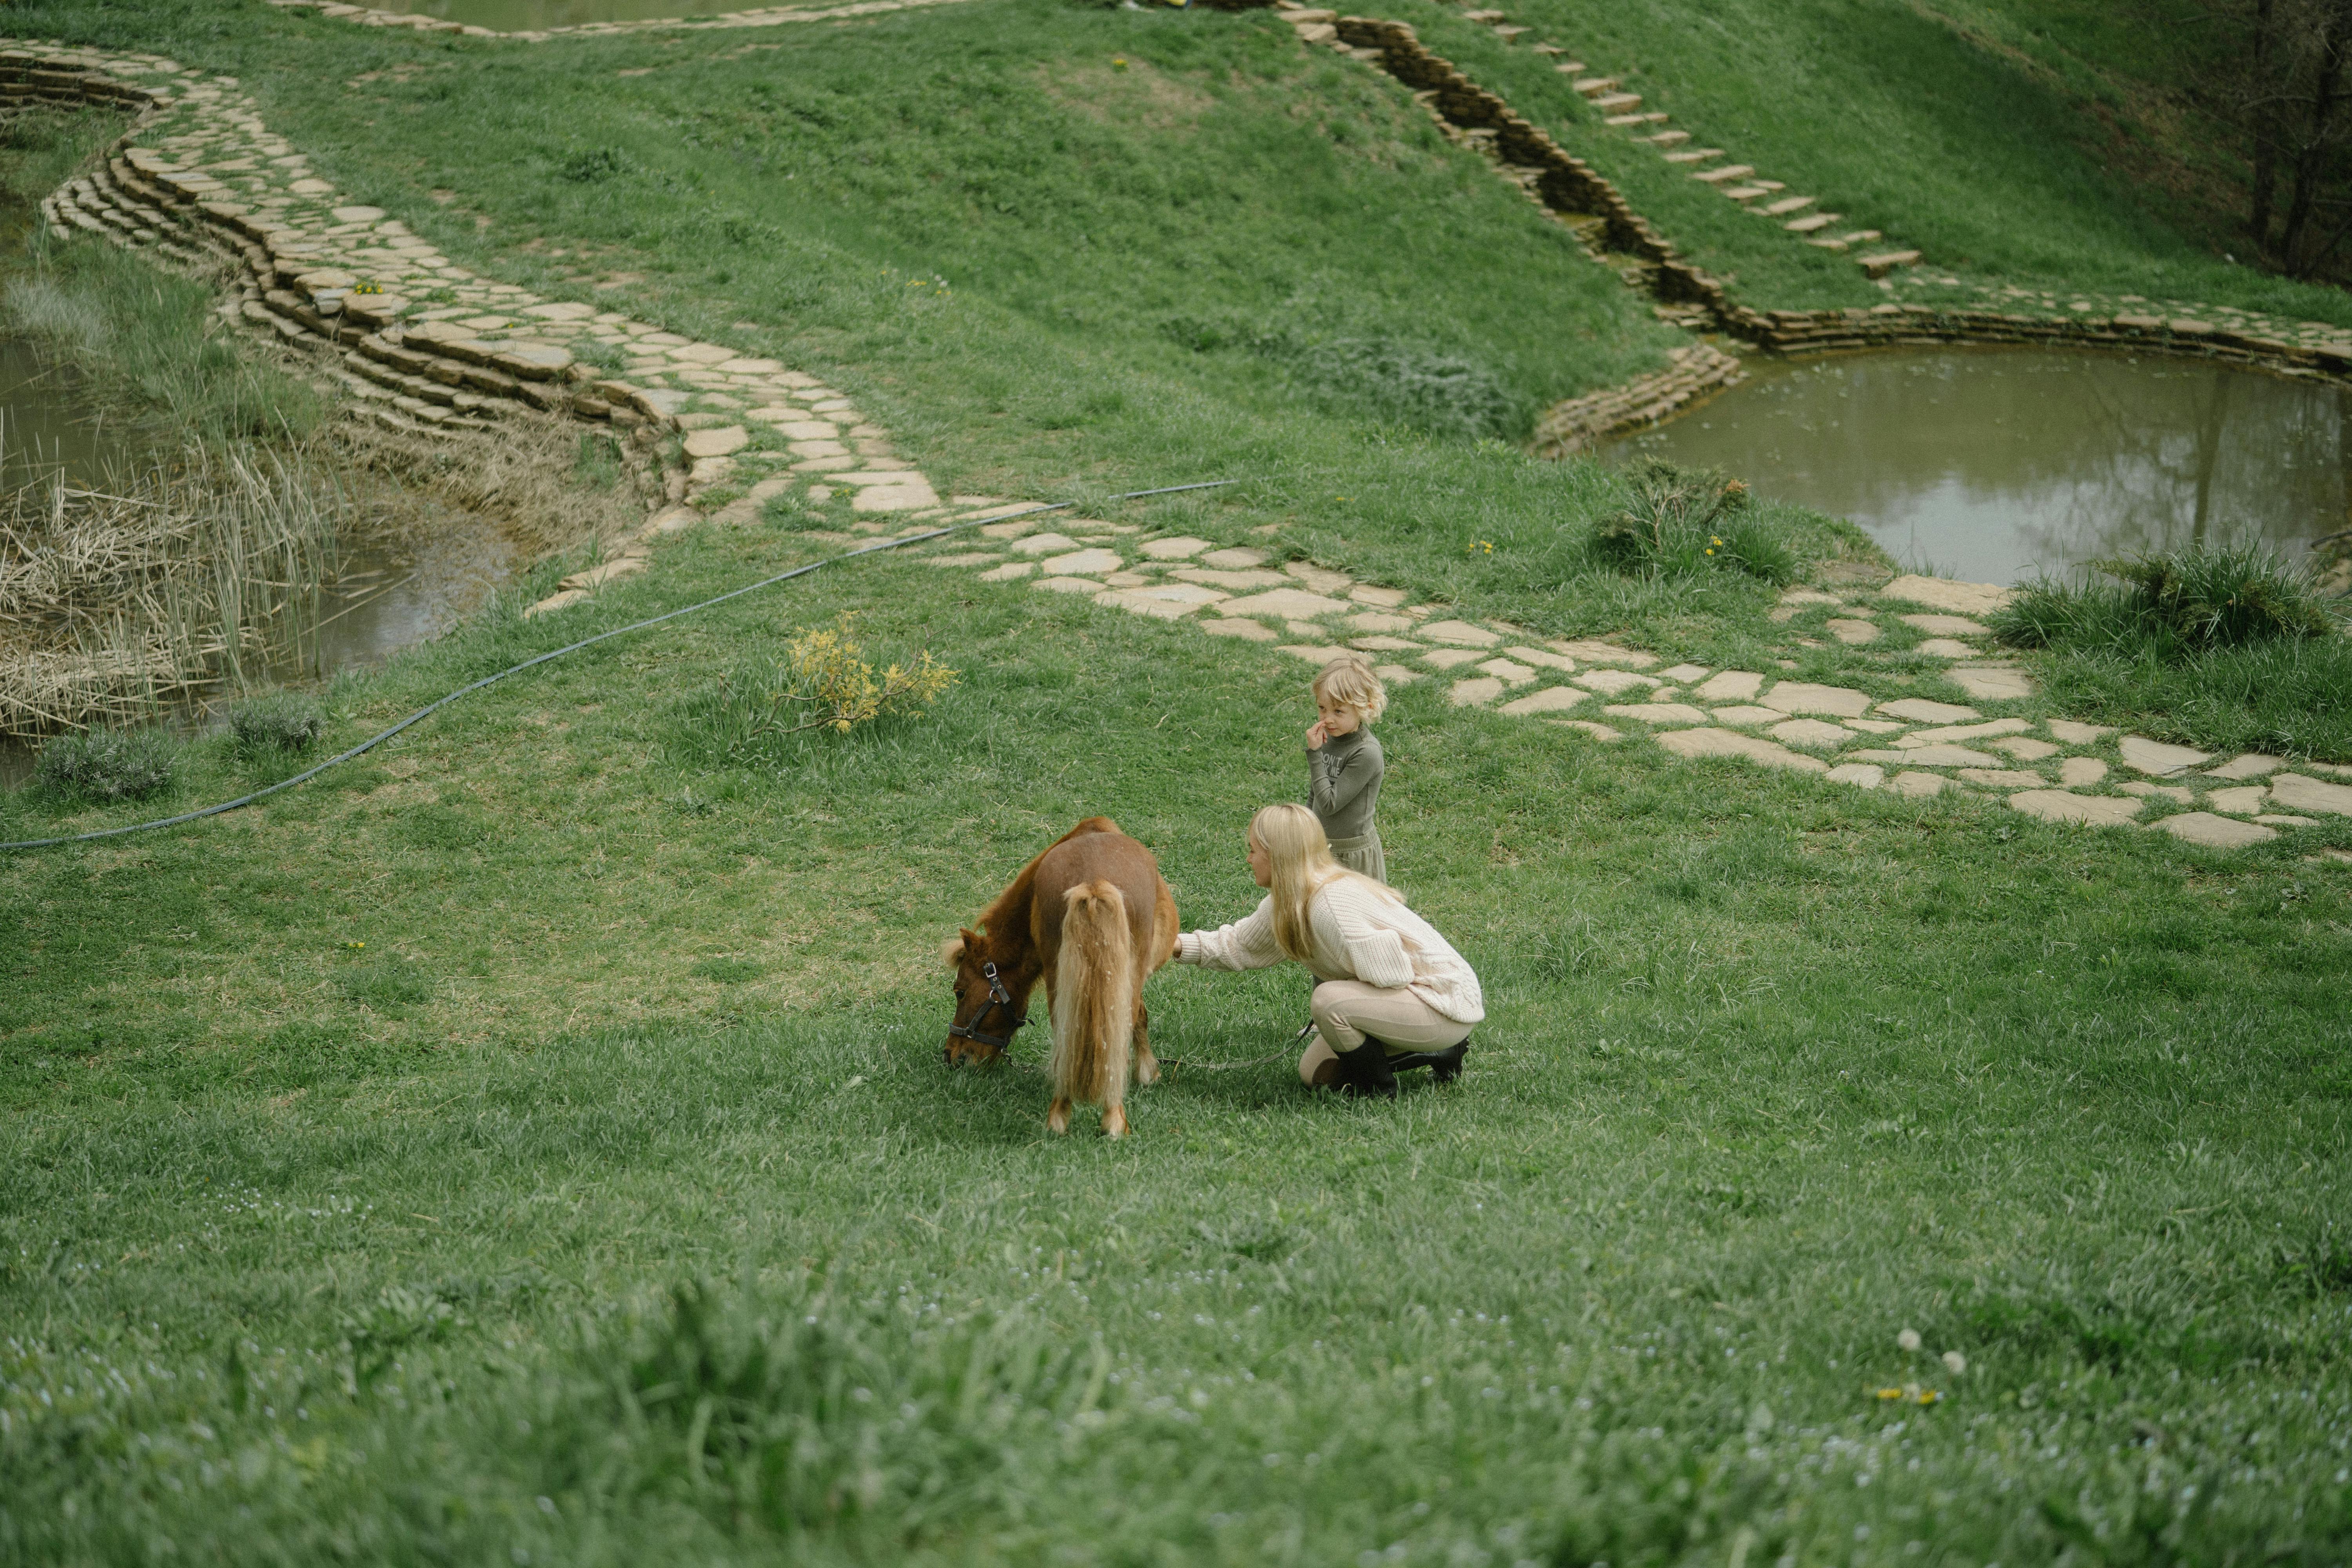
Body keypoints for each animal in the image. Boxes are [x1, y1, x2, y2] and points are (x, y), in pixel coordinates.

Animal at [946, 818, 1185, 1133]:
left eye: (960, 992)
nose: (950, 1055)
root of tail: (1093, 883)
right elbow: (1139, 1019)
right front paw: (1148, 1072)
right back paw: (1113, 1119)